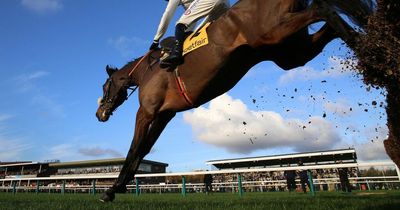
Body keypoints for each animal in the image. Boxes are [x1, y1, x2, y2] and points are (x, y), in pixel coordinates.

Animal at [95, 0, 374, 202]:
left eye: (104, 87)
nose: (100, 114)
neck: (147, 72)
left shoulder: (147, 111)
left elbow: (134, 148)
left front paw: (111, 190)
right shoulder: (166, 114)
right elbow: (144, 149)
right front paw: (118, 187)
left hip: (275, 33)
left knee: (322, 8)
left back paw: (371, 53)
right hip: (289, 51)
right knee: (327, 21)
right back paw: (369, 50)